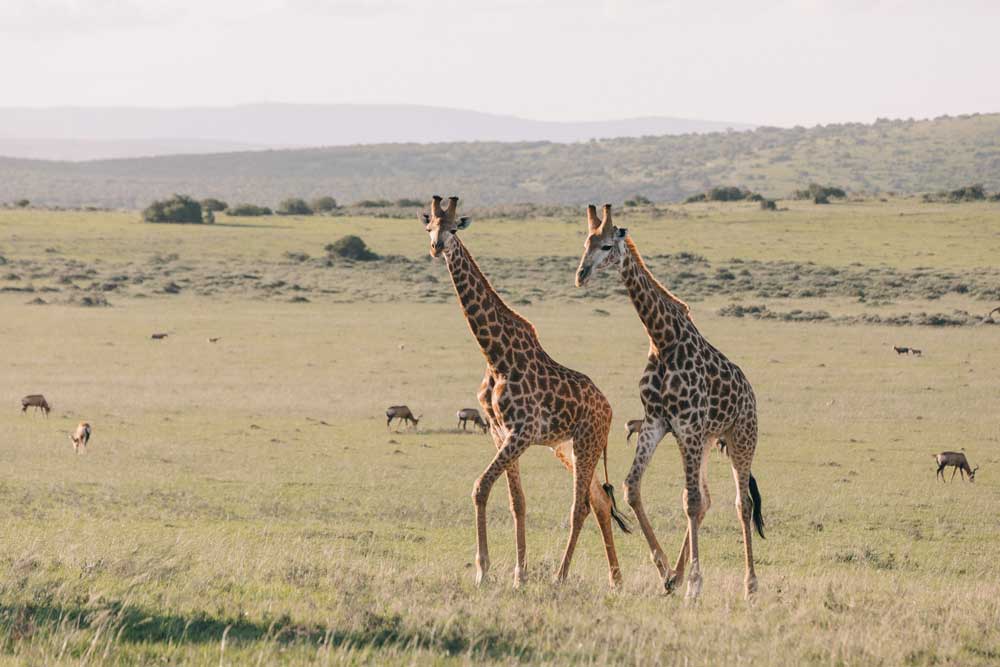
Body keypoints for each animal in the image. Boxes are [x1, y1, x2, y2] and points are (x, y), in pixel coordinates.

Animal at [421, 195, 631, 588]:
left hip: (587, 442)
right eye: (429, 227)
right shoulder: (499, 431)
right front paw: (519, 573)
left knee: (581, 505)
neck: (495, 355)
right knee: (599, 500)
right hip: (568, 448)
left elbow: (480, 487)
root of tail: (609, 409)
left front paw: (483, 571)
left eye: (454, 227)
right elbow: (517, 501)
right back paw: (616, 579)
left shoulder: (521, 431)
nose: (436, 247)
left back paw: (562, 577)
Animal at [575, 204, 765, 600]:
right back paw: (678, 575)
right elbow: (632, 488)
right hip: (706, 441)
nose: (581, 275)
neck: (662, 339)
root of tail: (750, 394)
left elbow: (690, 502)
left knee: (741, 504)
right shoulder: (657, 422)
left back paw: (750, 585)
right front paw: (665, 570)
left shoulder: (687, 426)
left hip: (741, 438)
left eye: (606, 246)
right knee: (706, 498)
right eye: (585, 242)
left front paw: (694, 584)